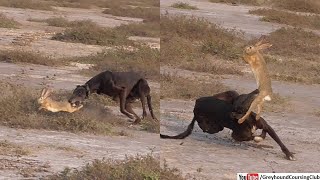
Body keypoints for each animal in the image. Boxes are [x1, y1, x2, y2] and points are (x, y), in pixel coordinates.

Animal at [160, 89, 296, 160]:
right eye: (234, 109)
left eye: (240, 110)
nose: (231, 115)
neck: (248, 120)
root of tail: (196, 103)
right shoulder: (237, 135)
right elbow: (250, 136)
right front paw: (259, 138)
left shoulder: (267, 127)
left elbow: (279, 142)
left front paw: (288, 154)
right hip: (212, 126)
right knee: (206, 128)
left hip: (228, 96)